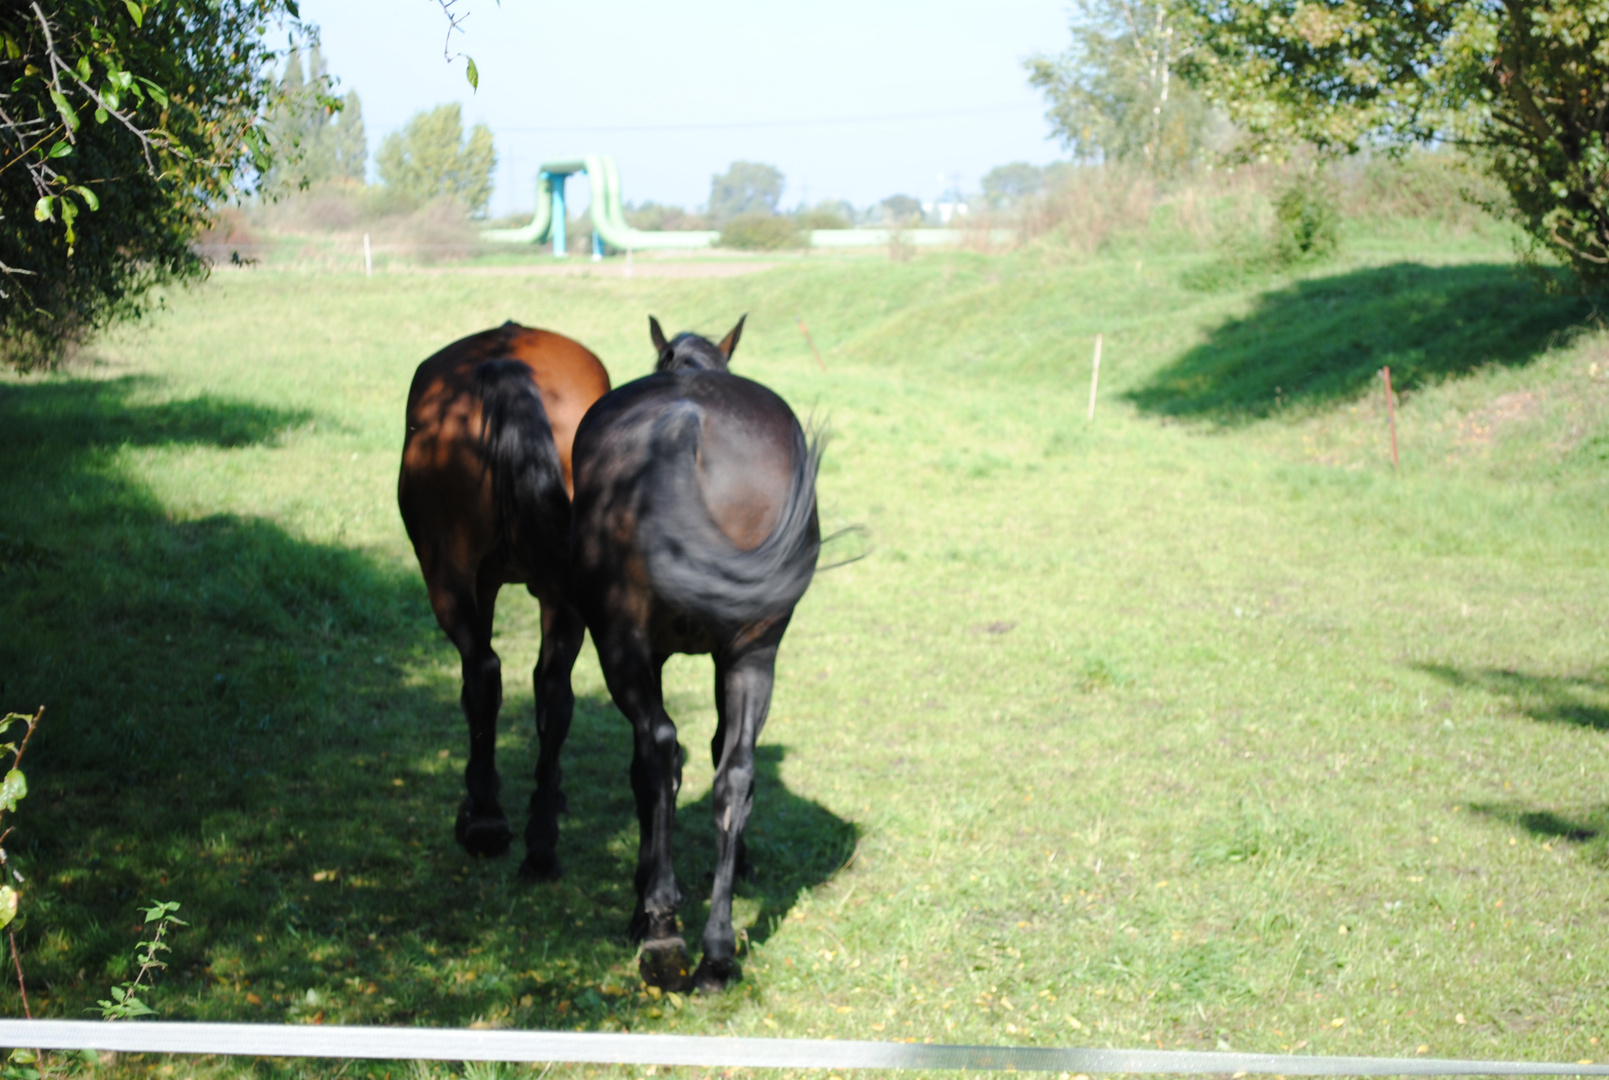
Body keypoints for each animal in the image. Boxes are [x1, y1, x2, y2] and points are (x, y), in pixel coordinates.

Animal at [395, 321, 608, 875]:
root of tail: (506, 358)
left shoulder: (480, 583)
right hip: (547, 591)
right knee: (549, 687)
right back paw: (540, 840)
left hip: (445, 573)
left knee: (484, 671)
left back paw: (485, 816)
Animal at [569, 310, 823, 991]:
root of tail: (685, 423)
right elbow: (717, 757)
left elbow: (650, 767)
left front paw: (643, 906)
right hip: (755, 651)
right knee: (734, 772)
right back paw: (716, 950)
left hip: (621, 642)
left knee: (658, 749)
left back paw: (662, 933)